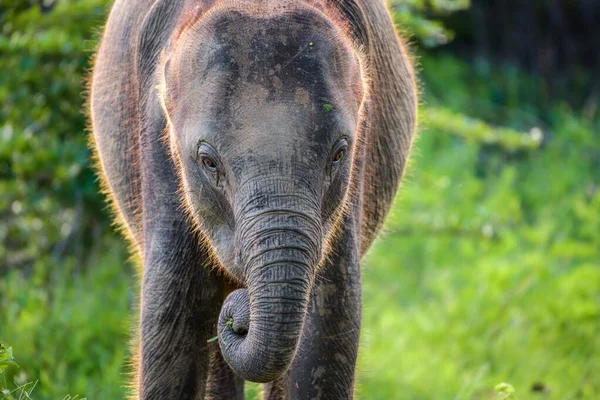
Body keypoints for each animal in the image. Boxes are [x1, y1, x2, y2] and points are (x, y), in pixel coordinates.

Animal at [90, 0, 418, 400]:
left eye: (339, 154)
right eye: (208, 161)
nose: (240, 316)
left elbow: (327, 325)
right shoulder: (157, 151)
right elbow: (173, 322)